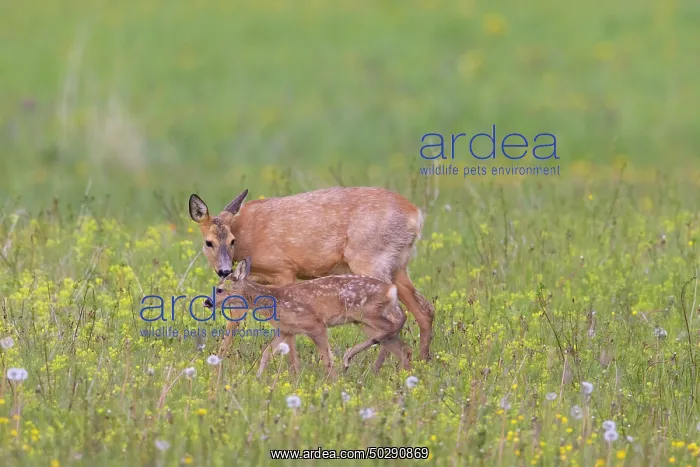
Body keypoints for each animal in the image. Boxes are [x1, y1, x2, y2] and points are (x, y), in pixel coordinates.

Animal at [188, 186, 435, 364]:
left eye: (232, 241)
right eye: (208, 242)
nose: (224, 270)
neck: (247, 235)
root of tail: (416, 215)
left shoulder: (284, 270)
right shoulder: (251, 279)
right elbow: (234, 321)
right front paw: (218, 362)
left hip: (371, 261)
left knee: (397, 313)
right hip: (398, 265)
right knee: (424, 309)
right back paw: (420, 363)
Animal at [202, 257, 412, 377]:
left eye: (220, 289)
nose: (207, 302)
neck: (275, 302)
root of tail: (391, 289)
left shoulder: (315, 324)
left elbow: (327, 359)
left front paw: (334, 384)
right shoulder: (286, 330)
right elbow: (266, 353)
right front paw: (257, 379)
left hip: (368, 313)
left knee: (398, 324)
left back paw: (348, 357)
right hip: (364, 321)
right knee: (403, 348)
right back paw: (405, 379)